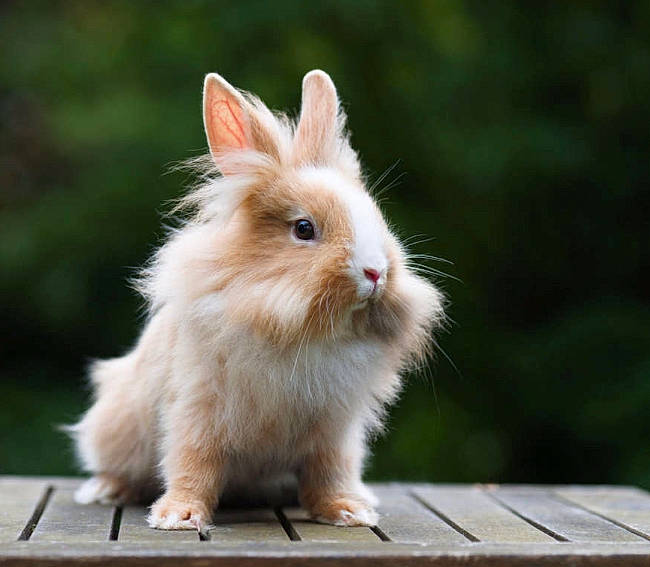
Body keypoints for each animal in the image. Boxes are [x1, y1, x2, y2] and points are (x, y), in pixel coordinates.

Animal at [69, 69, 445, 530]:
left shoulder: (335, 430)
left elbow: (330, 472)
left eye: (377, 218)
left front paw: (348, 511)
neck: (301, 331)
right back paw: (105, 490)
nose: (375, 272)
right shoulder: (198, 410)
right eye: (304, 228)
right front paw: (179, 516)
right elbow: (193, 463)